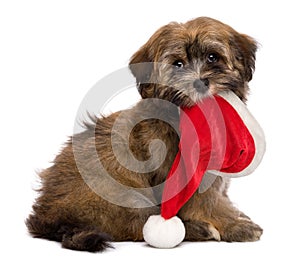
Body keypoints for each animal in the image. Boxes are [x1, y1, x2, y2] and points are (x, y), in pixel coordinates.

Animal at [27, 17, 262, 251]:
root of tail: (46, 217)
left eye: (212, 57)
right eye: (178, 64)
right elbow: (206, 203)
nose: (199, 82)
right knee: (138, 225)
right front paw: (234, 225)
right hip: (121, 195)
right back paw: (198, 230)